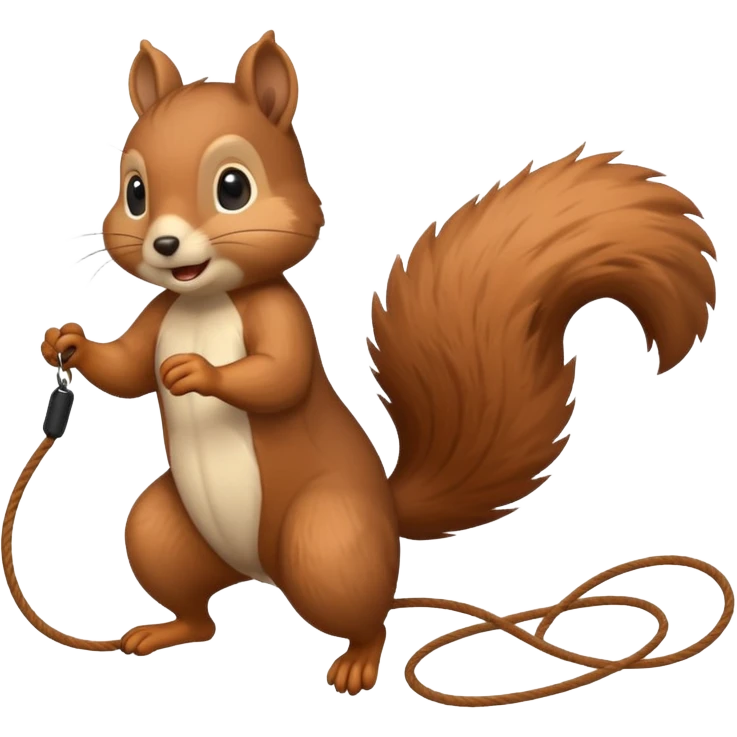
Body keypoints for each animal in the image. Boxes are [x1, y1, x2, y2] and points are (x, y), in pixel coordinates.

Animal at [19, 31, 721, 702]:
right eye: (134, 192)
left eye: (233, 187)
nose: (164, 244)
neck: (203, 299)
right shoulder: (159, 315)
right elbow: (127, 369)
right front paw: (67, 343)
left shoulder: (283, 318)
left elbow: (278, 378)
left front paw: (198, 373)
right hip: (167, 531)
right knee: (198, 607)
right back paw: (165, 630)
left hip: (328, 541)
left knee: (368, 616)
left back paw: (356, 663)